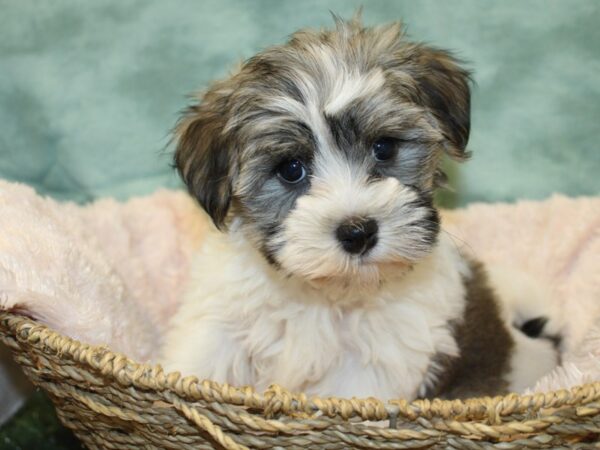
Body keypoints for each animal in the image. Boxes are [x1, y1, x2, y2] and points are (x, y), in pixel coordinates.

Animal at [161, 15, 556, 400]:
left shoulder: (373, 364)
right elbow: (199, 361)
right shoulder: (221, 320)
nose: (358, 232)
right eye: (291, 169)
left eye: (384, 148)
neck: (323, 291)